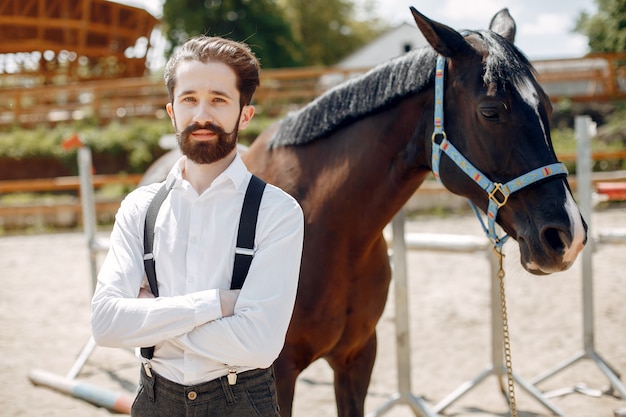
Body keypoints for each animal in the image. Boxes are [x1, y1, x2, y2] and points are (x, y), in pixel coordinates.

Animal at [239, 7, 584, 416]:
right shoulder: (279, 373)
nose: (569, 236)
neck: (324, 230)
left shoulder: (357, 357)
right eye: (490, 112)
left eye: (547, 106)